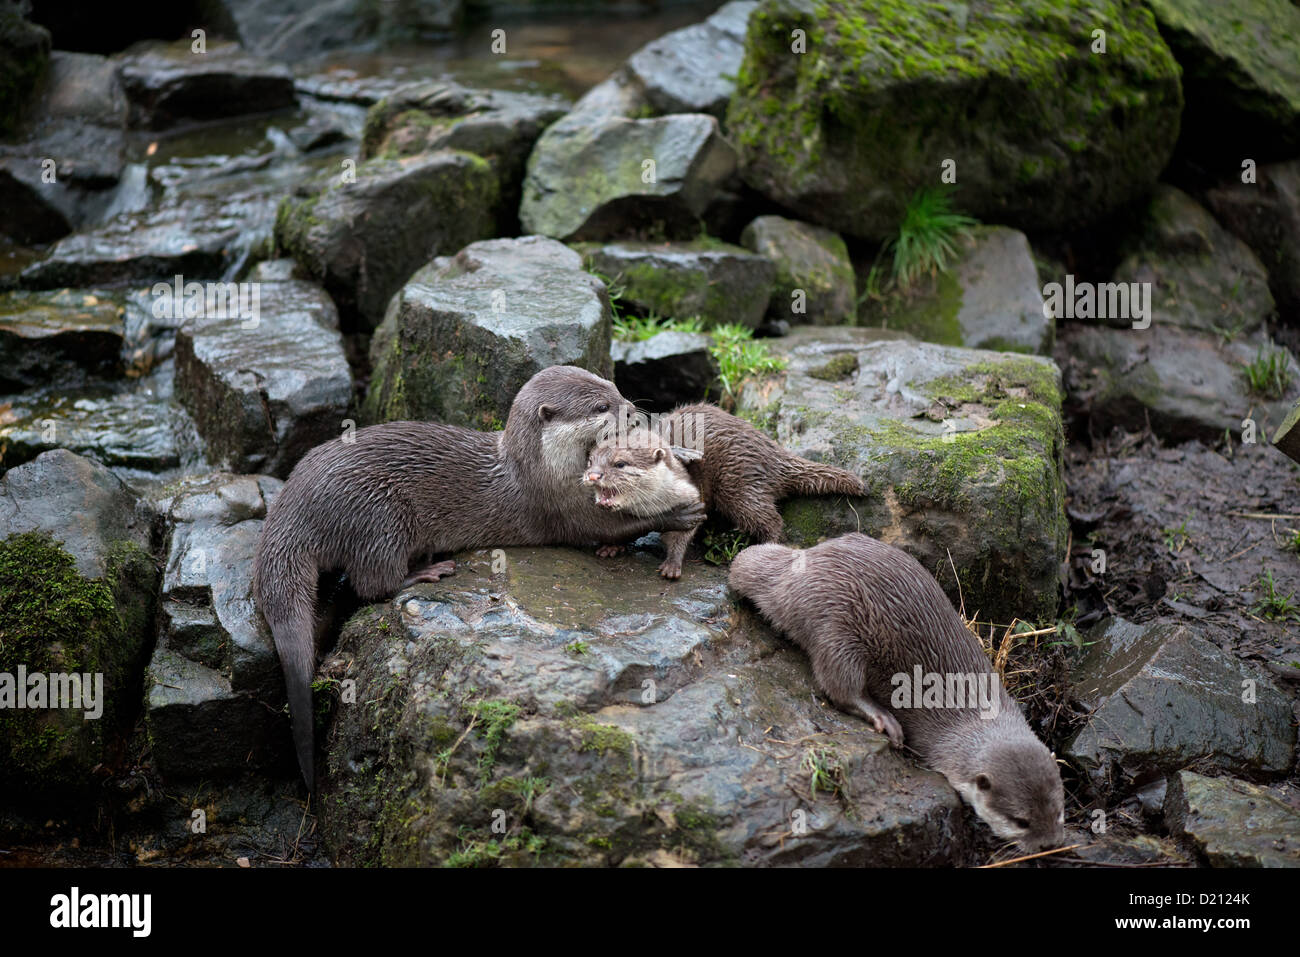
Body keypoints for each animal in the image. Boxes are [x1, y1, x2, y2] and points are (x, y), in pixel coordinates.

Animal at [249, 366, 707, 785]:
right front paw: (679, 513)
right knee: (373, 583)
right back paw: (428, 570)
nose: (632, 411)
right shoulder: (563, 506)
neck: (542, 468)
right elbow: (614, 525)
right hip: (379, 514)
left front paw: (680, 454)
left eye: (614, 387)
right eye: (599, 407)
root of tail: (295, 505)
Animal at [585, 403, 868, 574]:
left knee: (770, 520)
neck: (652, 506)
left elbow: (682, 536)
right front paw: (613, 546)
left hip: (738, 483)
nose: (593, 475)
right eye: (590, 460)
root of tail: (771, 450)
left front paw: (672, 565)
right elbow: (624, 530)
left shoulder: (692, 499)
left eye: (620, 463)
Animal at [733, 530, 1066, 852]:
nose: (1049, 844)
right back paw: (883, 719)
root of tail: (792, 571)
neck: (980, 714)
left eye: (1059, 811)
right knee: (839, 687)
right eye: (1021, 821)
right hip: (836, 631)